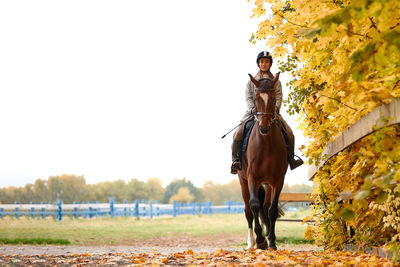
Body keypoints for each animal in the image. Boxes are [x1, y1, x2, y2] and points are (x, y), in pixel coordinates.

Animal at [238, 71, 288, 251]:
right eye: (256, 98)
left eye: (273, 99)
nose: (264, 127)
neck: (266, 144)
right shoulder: (252, 177)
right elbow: (254, 206)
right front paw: (260, 240)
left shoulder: (277, 180)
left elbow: (271, 210)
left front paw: (271, 242)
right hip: (243, 181)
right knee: (248, 211)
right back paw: (251, 242)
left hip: (266, 185)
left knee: (265, 209)